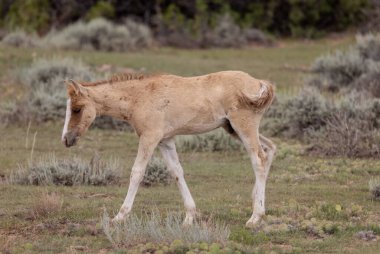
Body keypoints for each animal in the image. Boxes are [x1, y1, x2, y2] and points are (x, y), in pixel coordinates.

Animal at [61, 70, 276, 227]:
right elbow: (176, 172)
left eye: (77, 109)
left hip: (244, 127)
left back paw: (255, 217)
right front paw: (189, 217)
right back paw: (256, 202)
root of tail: (260, 83)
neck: (140, 96)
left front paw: (119, 216)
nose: (66, 139)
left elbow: (137, 172)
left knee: (258, 159)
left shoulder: (150, 137)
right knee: (270, 149)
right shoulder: (165, 141)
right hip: (233, 129)